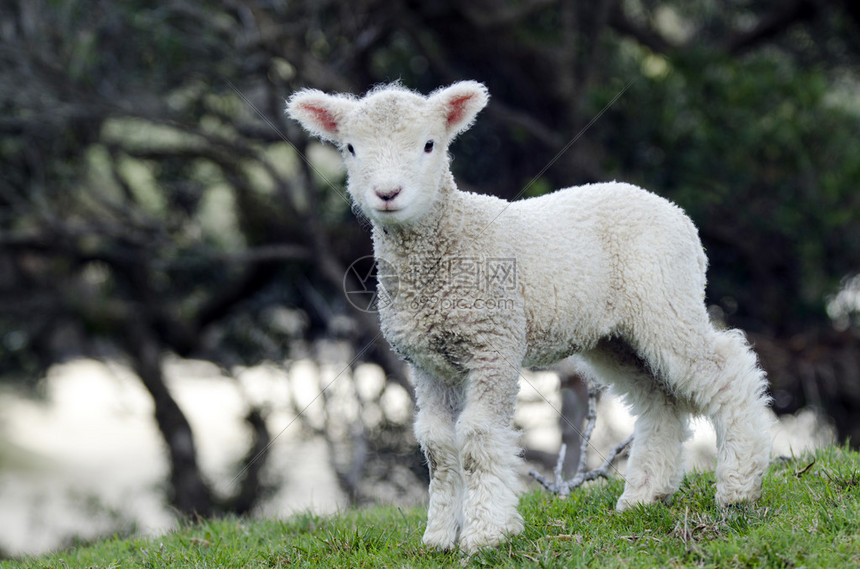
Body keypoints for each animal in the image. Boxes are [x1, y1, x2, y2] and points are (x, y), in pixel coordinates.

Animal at [288, 81, 772, 556]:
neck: (450, 242)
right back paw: (644, 496)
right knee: (659, 400)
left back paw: (738, 487)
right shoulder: (426, 363)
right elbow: (437, 445)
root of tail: (674, 212)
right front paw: (439, 538)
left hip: (665, 297)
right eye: (350, 148)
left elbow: (478, 437)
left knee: (725, 371)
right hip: (614, 337)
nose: (387, 194)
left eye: (429, 144)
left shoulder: (495, 344)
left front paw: (486, 534)